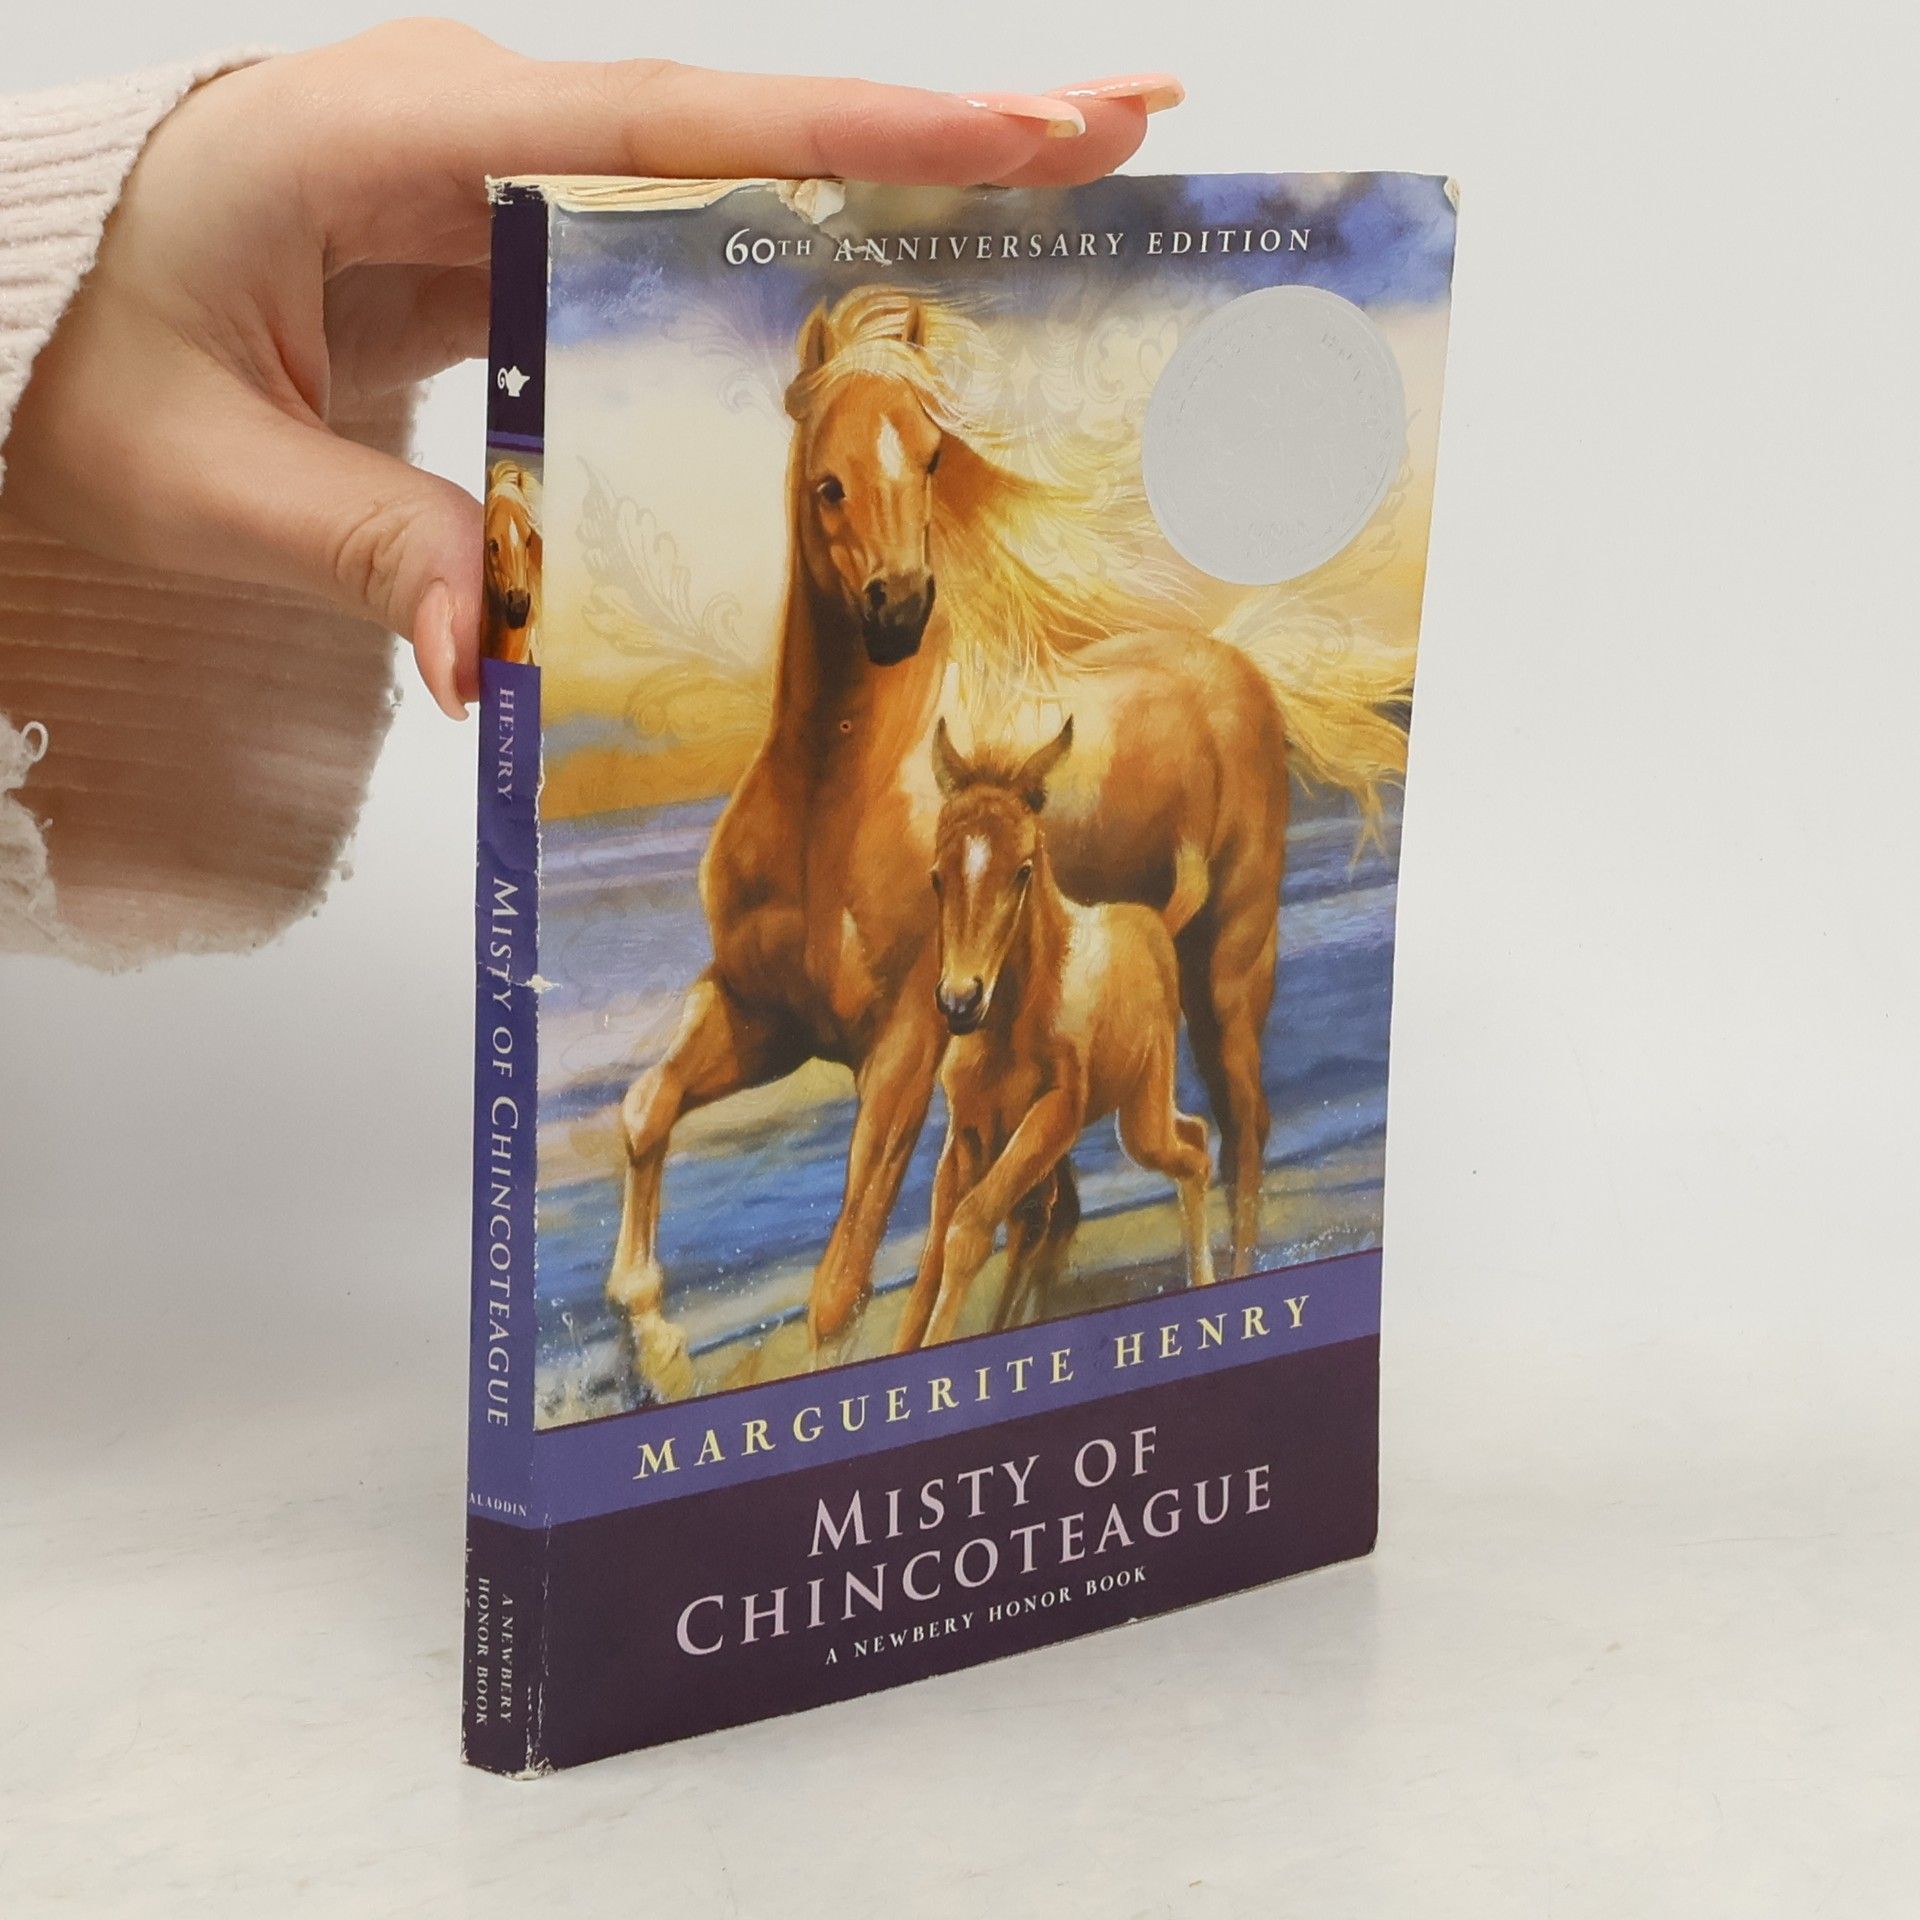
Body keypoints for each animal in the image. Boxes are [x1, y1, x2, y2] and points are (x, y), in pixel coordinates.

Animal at [895, 717, 1216, 1350]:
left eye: (1022, 870)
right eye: (937, 877)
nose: (959, 1001)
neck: (1005, 1028)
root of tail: (1154, 923)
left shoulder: (1055, 1115)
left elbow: (968, 1230)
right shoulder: (969, 1131)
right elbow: (932, 1258)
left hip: (1140, 1114)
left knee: (1191, 1152)